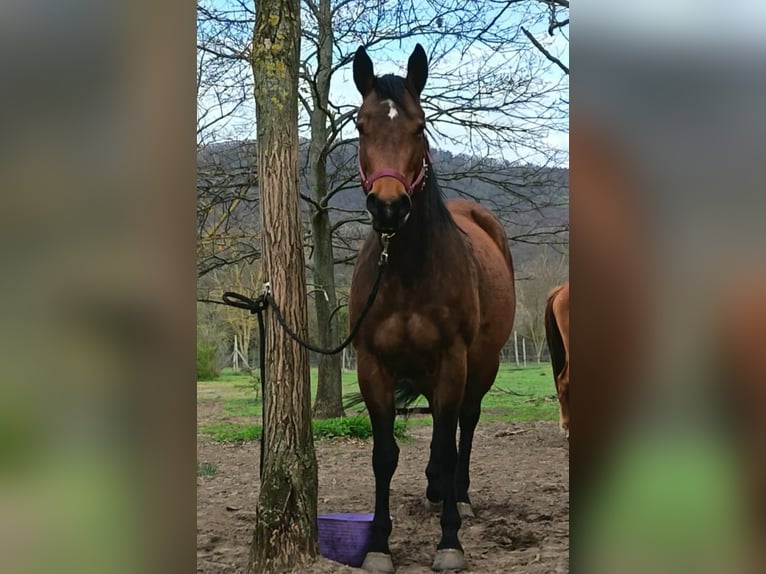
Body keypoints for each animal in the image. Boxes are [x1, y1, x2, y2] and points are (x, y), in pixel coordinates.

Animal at [348, 44, 516, 572]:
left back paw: (456, 495)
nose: (388, 207)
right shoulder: (372, 365)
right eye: (360, 124)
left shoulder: (452, 361)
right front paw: (379, 547)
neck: (404, 271)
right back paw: (434, 488)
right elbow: (384, 454)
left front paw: (449, 542)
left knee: (465, 424)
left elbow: (446, 443)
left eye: (420, 125)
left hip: (480, 365)